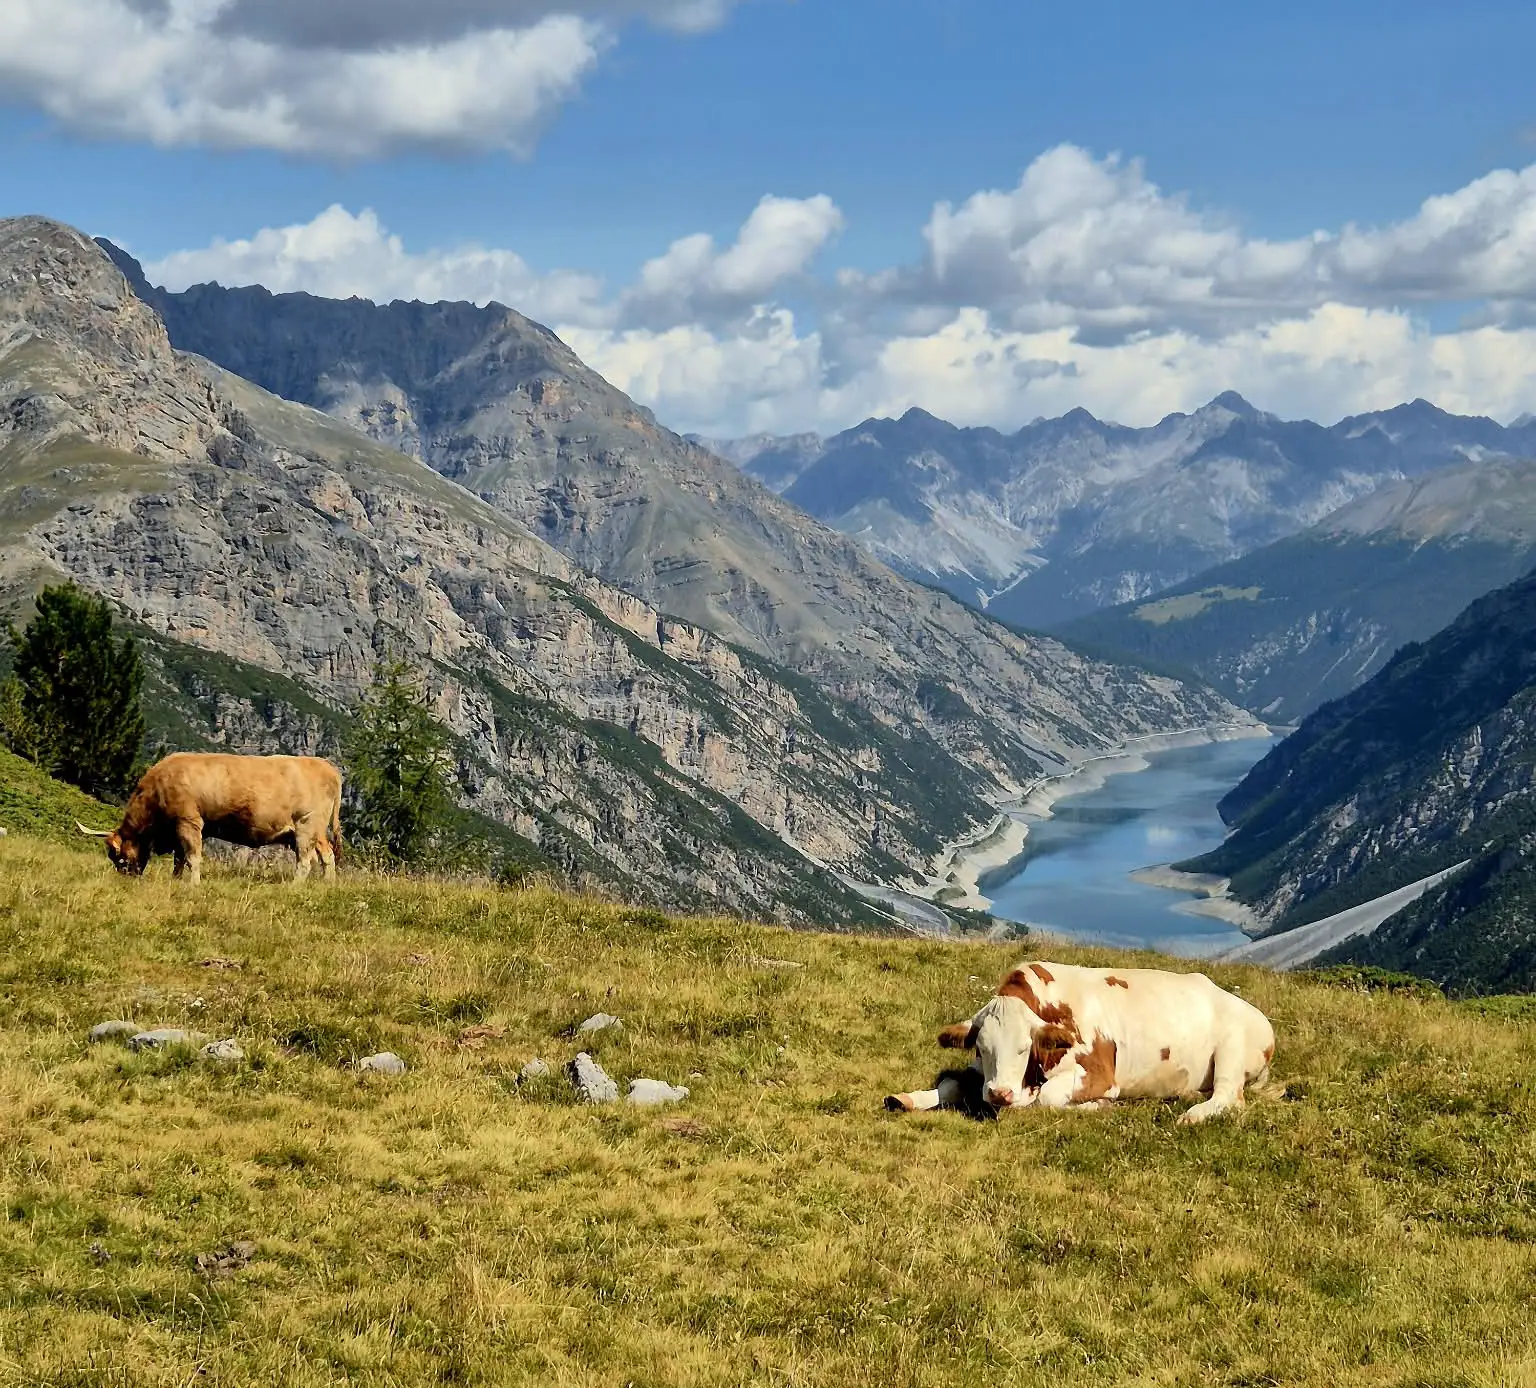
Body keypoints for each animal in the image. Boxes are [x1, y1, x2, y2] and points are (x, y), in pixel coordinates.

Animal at [77, 752, 343, 886]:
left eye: (116, 855)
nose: (126, 878)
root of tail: (326, 766)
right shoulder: (179, 830)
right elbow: (179, 859)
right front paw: (176, 881)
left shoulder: (189, 821)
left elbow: (193, 857)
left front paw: (194, 885)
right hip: (313, 832)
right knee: (326, 855)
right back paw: (327, 884)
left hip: (307, 826)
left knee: (306, 861)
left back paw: (295, 886)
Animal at [885, 961, 1277, 1125]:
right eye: (981, 1048)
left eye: (1024, 1047)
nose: (999, 1094)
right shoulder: (980, 1072)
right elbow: (950, 1084)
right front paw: (906, 1098)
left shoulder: (1099, 1074)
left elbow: (1047, 1099)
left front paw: (1095, 1107)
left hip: (1231, 1049)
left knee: (1229, 1096)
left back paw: (1191, 1116)